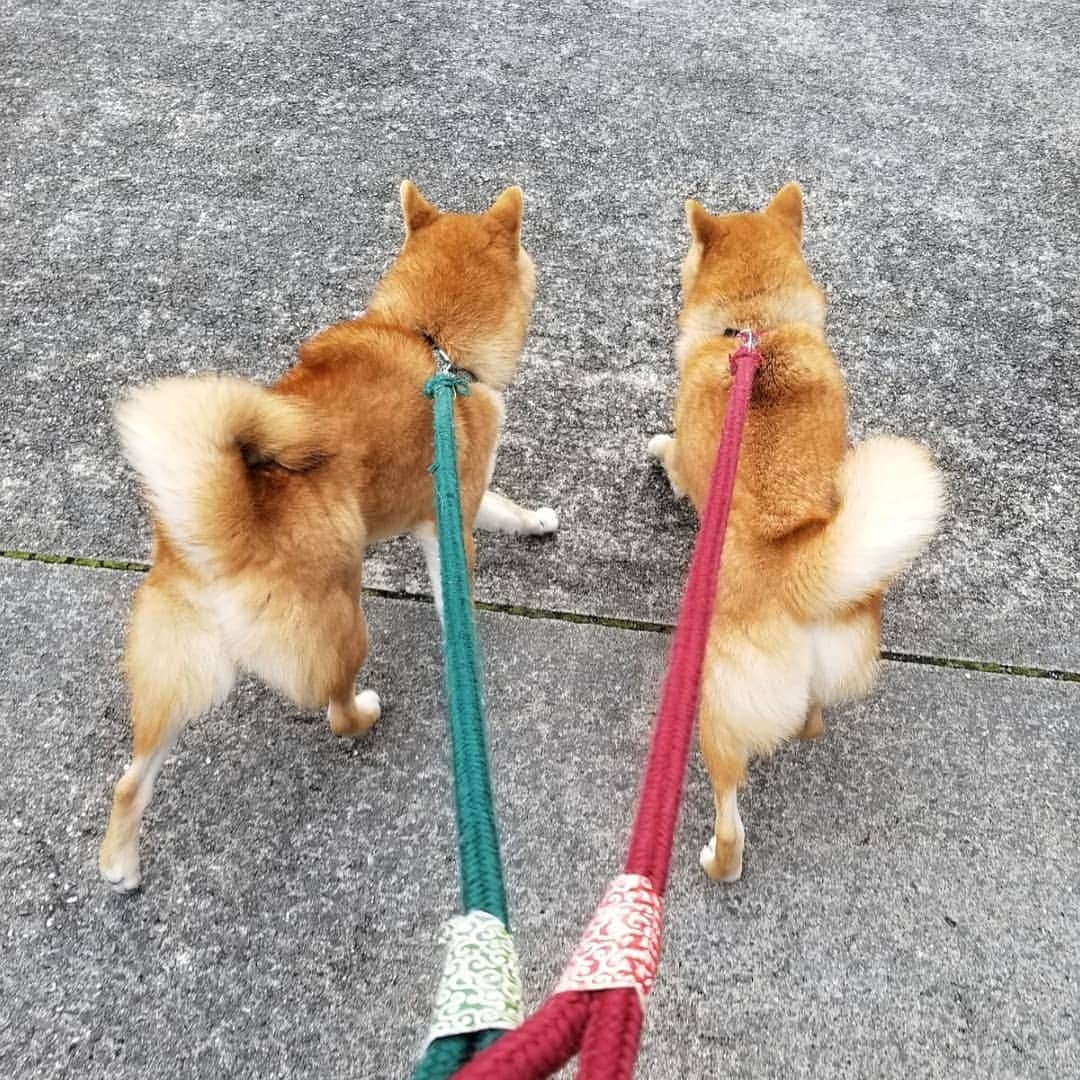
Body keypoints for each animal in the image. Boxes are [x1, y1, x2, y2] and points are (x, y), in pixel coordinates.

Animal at [99, 183, 557, 894]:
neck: (431, 338)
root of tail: (225, 536)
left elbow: (503, 513)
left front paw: (535, 523)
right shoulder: (452, 512)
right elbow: (470, 564)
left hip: (174, 675)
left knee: (129, 780)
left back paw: (118, 861)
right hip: (340, 625)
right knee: (338, 712)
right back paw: (365, 710)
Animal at [648, 183, 946, 876]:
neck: (755, 323)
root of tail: (796, 566)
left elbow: (670, 452)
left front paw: (658, 452)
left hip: (715, 706)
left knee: (731, 817)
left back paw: (716, 860)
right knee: (810, 721)